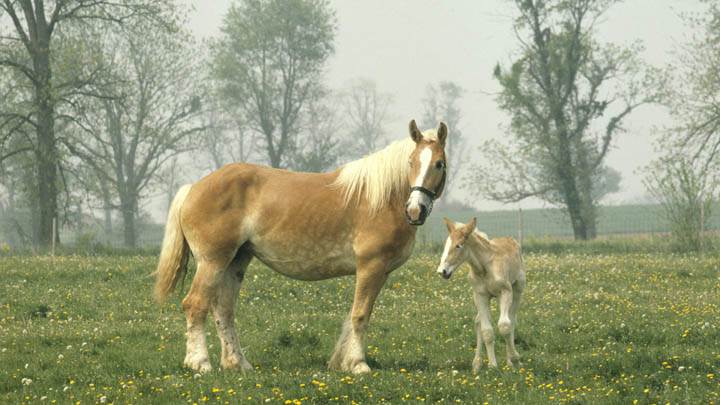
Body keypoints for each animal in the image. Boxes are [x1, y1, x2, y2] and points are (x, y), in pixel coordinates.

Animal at [154, 120, 448, 374]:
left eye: (439, 164)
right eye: (411, 162)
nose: (415, 210)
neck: (383, 199)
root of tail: (193, 188)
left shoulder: (381, 272)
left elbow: (352, 315)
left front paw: (340, 362)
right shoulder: (370, 267)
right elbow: (360, 315)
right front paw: (358, 364)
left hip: (235, 262)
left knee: (224, 310)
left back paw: (238, 364)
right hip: (212, 261)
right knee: (195, 305)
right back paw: (200, 363)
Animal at [435, 217, 525, 371]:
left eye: (458, 245)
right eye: (446, 244)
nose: (442, 271)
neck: (484, 267)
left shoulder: (505, 291)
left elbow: (505, 326)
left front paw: (515, 359)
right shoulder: (480, 295)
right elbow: (486, 331)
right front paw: (493, 366)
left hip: (517, 289)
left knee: (512, 320)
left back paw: (510, 360)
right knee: (478, 321)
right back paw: (477, 364)